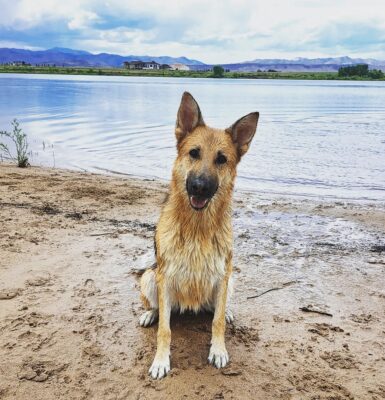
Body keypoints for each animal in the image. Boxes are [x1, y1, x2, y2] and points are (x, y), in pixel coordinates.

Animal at [138, 90, 258, 378]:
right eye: (194, 153)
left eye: (221, 159)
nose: (200, 187)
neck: (197, 227)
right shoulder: (165, 277)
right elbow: (165, 330)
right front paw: (161, 360)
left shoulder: (222, 274)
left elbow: (217, 323)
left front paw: (218, 350)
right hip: (149, 276)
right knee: (157, 307)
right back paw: (150, 313)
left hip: (230, 279)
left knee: (217, 310)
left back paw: (226, 312)